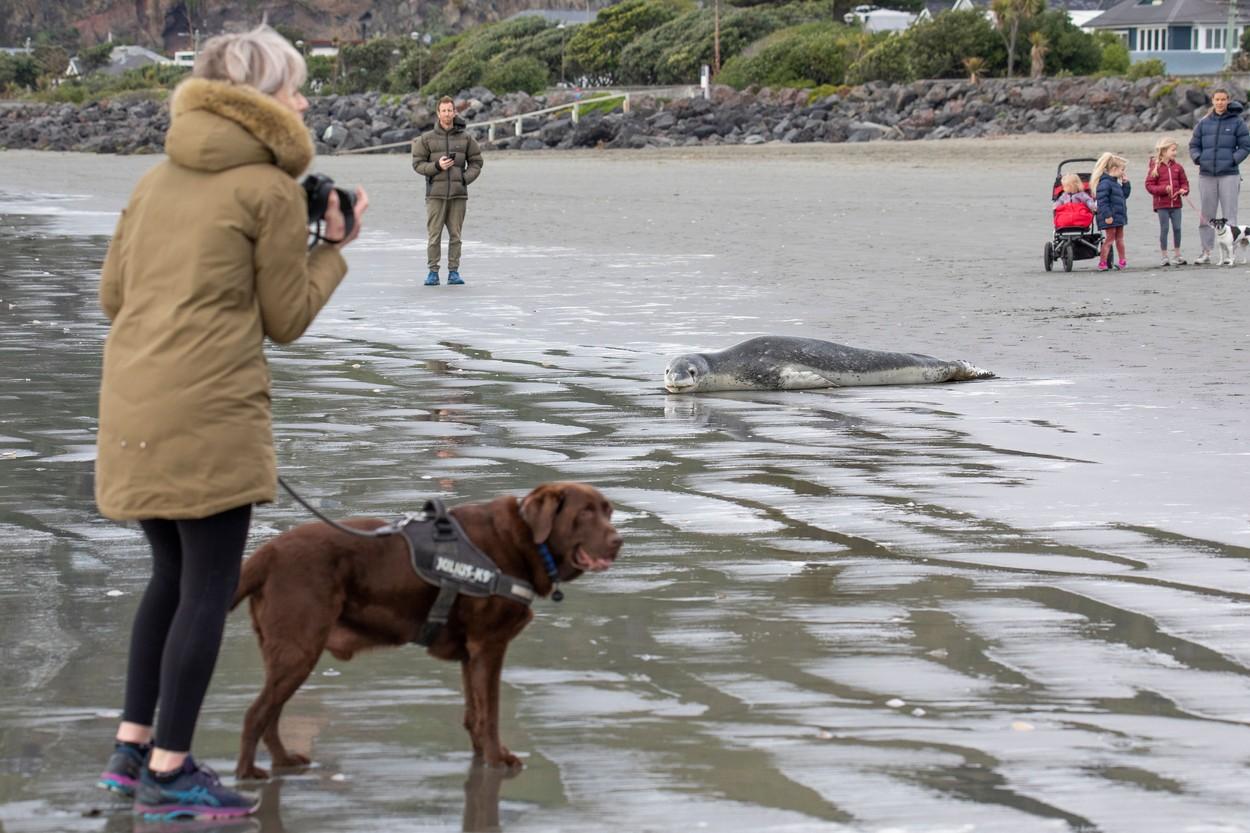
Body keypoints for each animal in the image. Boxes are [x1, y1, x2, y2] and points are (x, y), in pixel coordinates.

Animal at [230, 480, 620, 780]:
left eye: (608, 511)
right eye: (585, 512)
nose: (619, 541)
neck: (525, 540)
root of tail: (266, 553)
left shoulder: (470, 652)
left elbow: (475, 713)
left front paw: (481, 757)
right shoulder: (489, 644)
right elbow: (490, 714)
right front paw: (497, 760)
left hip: (287, 651)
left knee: (271, 713)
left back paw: (283, 761)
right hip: (300, 648)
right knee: (256, 713)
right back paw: (248, 773)